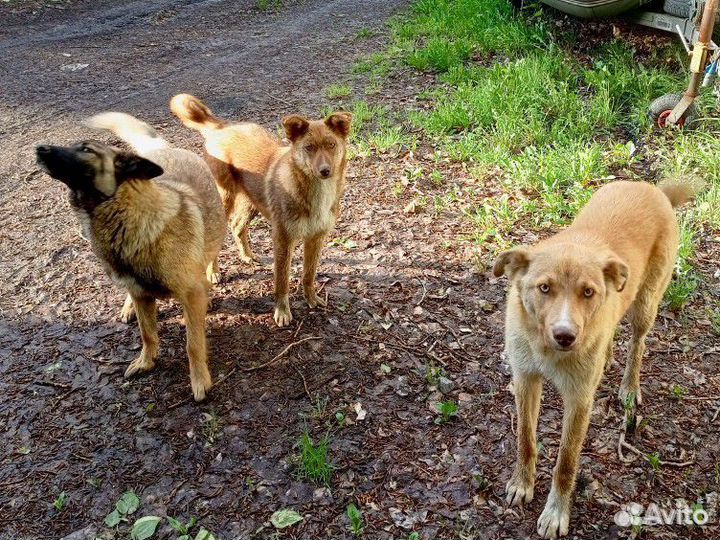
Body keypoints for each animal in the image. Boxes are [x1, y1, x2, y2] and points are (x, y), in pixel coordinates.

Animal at [496, 181, 692, 540]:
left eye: (588, 292)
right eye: (544, 288)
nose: (565, 335)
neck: (547, 350)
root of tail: (651, 188)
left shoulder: (579, 400)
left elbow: (566, 461)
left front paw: (556, 513)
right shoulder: (526, 379)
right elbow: (526, 440)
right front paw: (522, 484)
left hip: (646, 304)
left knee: (638, 343)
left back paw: (629, 386)